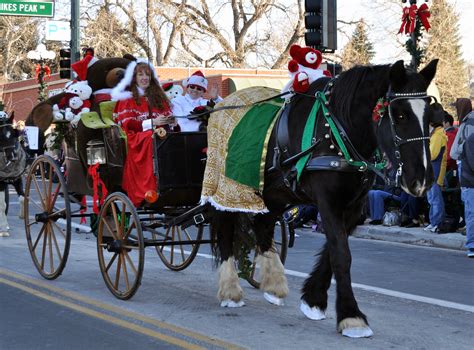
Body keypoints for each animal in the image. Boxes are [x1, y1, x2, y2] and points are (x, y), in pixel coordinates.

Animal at [209, 58, 438, 338]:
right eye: (400, 115)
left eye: (429, 117)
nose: (422, 180)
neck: (336, 130)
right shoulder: (328, 201)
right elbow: (341, 254)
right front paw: (351, 316)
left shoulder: (353, 206)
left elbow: (333, 251)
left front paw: (314, 300)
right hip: (227, 191)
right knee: (225, 232)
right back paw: (230, 290)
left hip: (273, 194)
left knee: (263, 227)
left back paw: (274, 284)